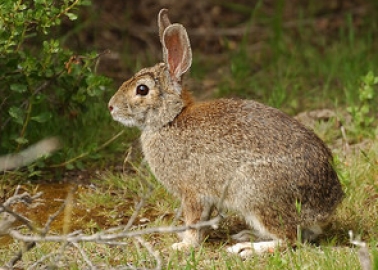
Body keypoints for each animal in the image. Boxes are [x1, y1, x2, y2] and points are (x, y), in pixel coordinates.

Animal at [108, 8, 344, 258]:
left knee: (289, 239)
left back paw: (246, 248)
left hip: (254, 194)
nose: (111, 107)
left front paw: (183, 245)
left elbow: (193, 221)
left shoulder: (193, 192)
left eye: (142, 89)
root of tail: (327, 206)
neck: (170, 119)